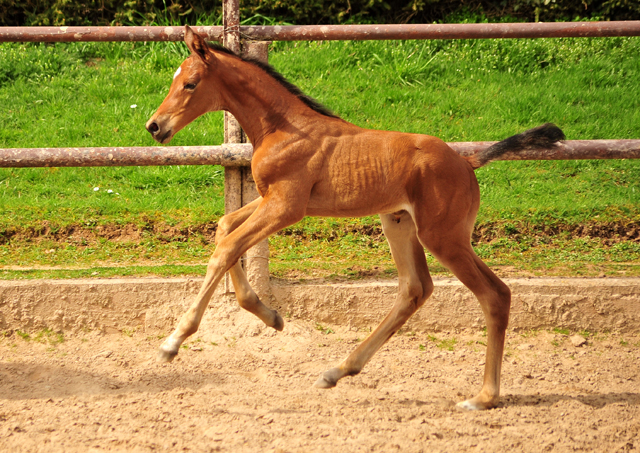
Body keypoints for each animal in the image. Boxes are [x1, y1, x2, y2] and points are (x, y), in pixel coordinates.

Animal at [146, 25, 564, 410]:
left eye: (190, 83)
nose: (154, 126)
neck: (281, 127)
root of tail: (467, 161)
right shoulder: (270, 199)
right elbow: (224, 230)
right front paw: (271, 317)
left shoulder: (286, 206)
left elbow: (227, 246)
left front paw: (172, 343)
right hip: (401, 224)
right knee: (416, 288)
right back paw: (338, 371)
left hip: (443, 236)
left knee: (493, 294)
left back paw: (484, 397)